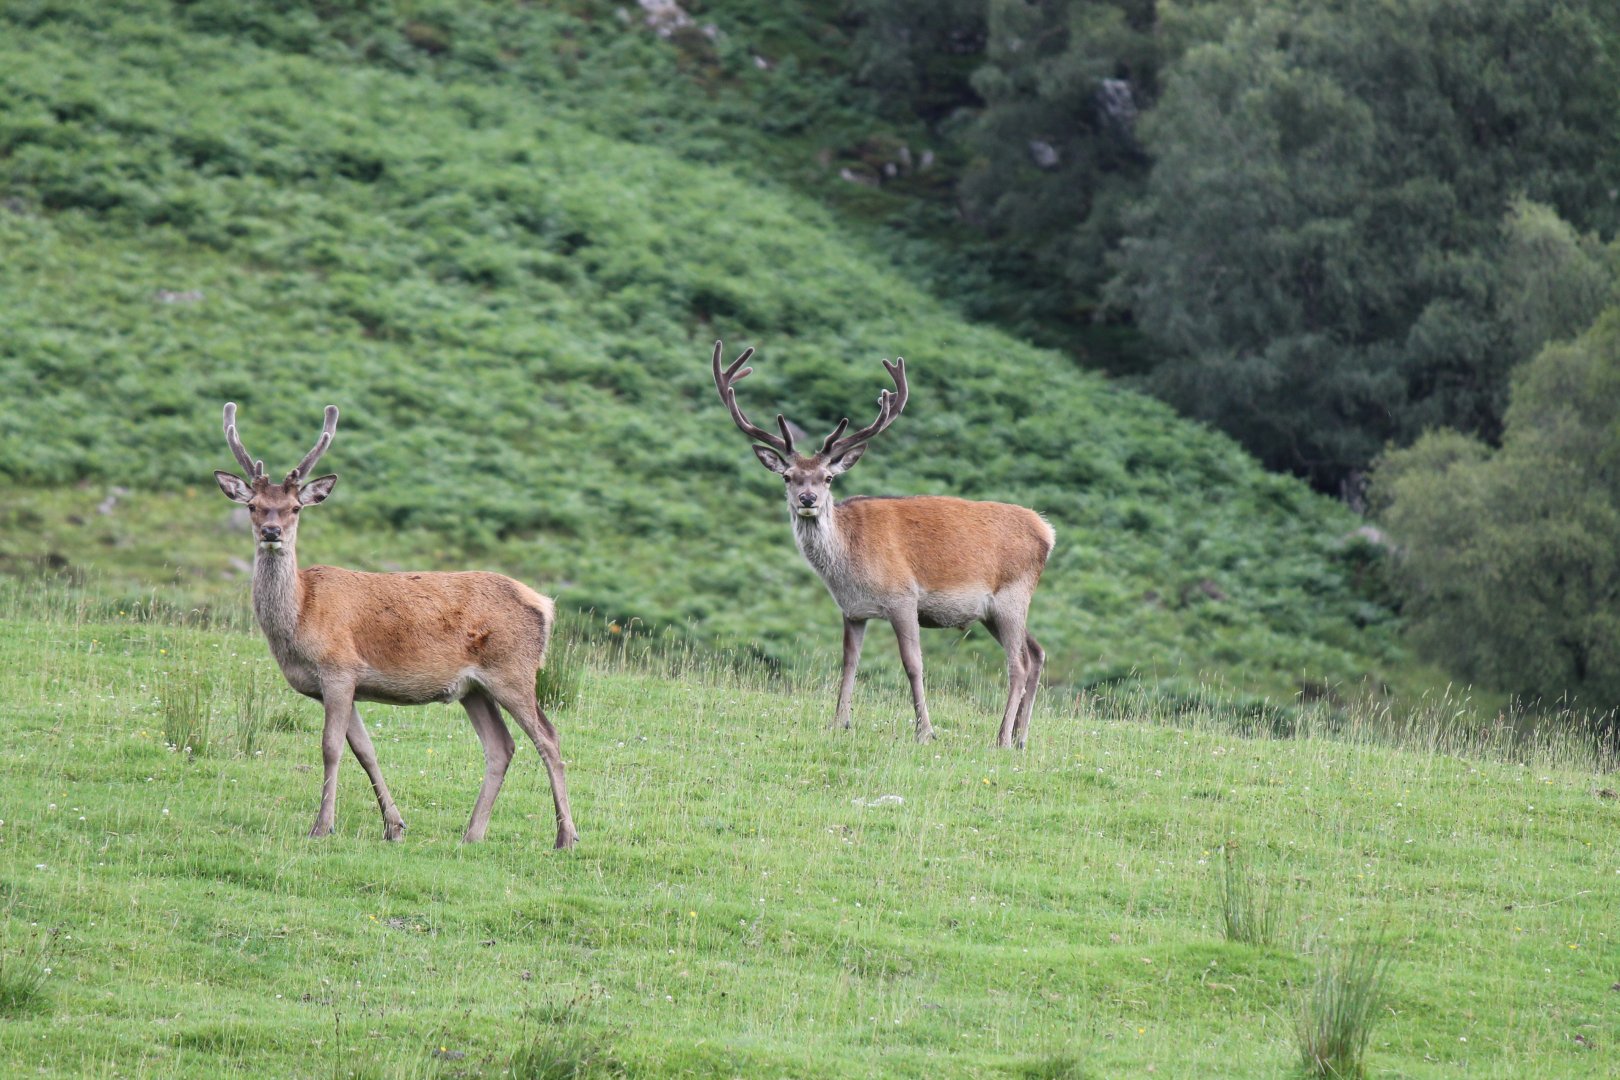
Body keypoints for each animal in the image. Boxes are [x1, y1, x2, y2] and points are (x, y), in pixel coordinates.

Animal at [212, 403, 578, 849]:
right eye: (253, 505)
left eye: (295, 507)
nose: (271, 531)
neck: (301, 617)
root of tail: (544, 605)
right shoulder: (336, 685)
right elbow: (364, 750)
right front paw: (394, 826)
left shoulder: (339, 668)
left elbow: (330, 747)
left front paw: (322, 826)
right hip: (475, 688)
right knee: (501, 746)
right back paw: (472, 834)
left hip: (514, 670)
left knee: (549, 738)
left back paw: (565, 836)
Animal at [711, 341, 1055, 749]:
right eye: (788, 476)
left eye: (828, 478)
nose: (808, 499)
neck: (848, 563)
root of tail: (1047, 531)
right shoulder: (852, 610)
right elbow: (849, 662)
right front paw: (839, 723)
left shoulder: (902, 596)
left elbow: (913, 664)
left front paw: (925, 731)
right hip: (994, 611)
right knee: (1036, 653)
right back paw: (1020, 738)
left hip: (1012, 597)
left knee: (1018, 664)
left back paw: (1001, 739)